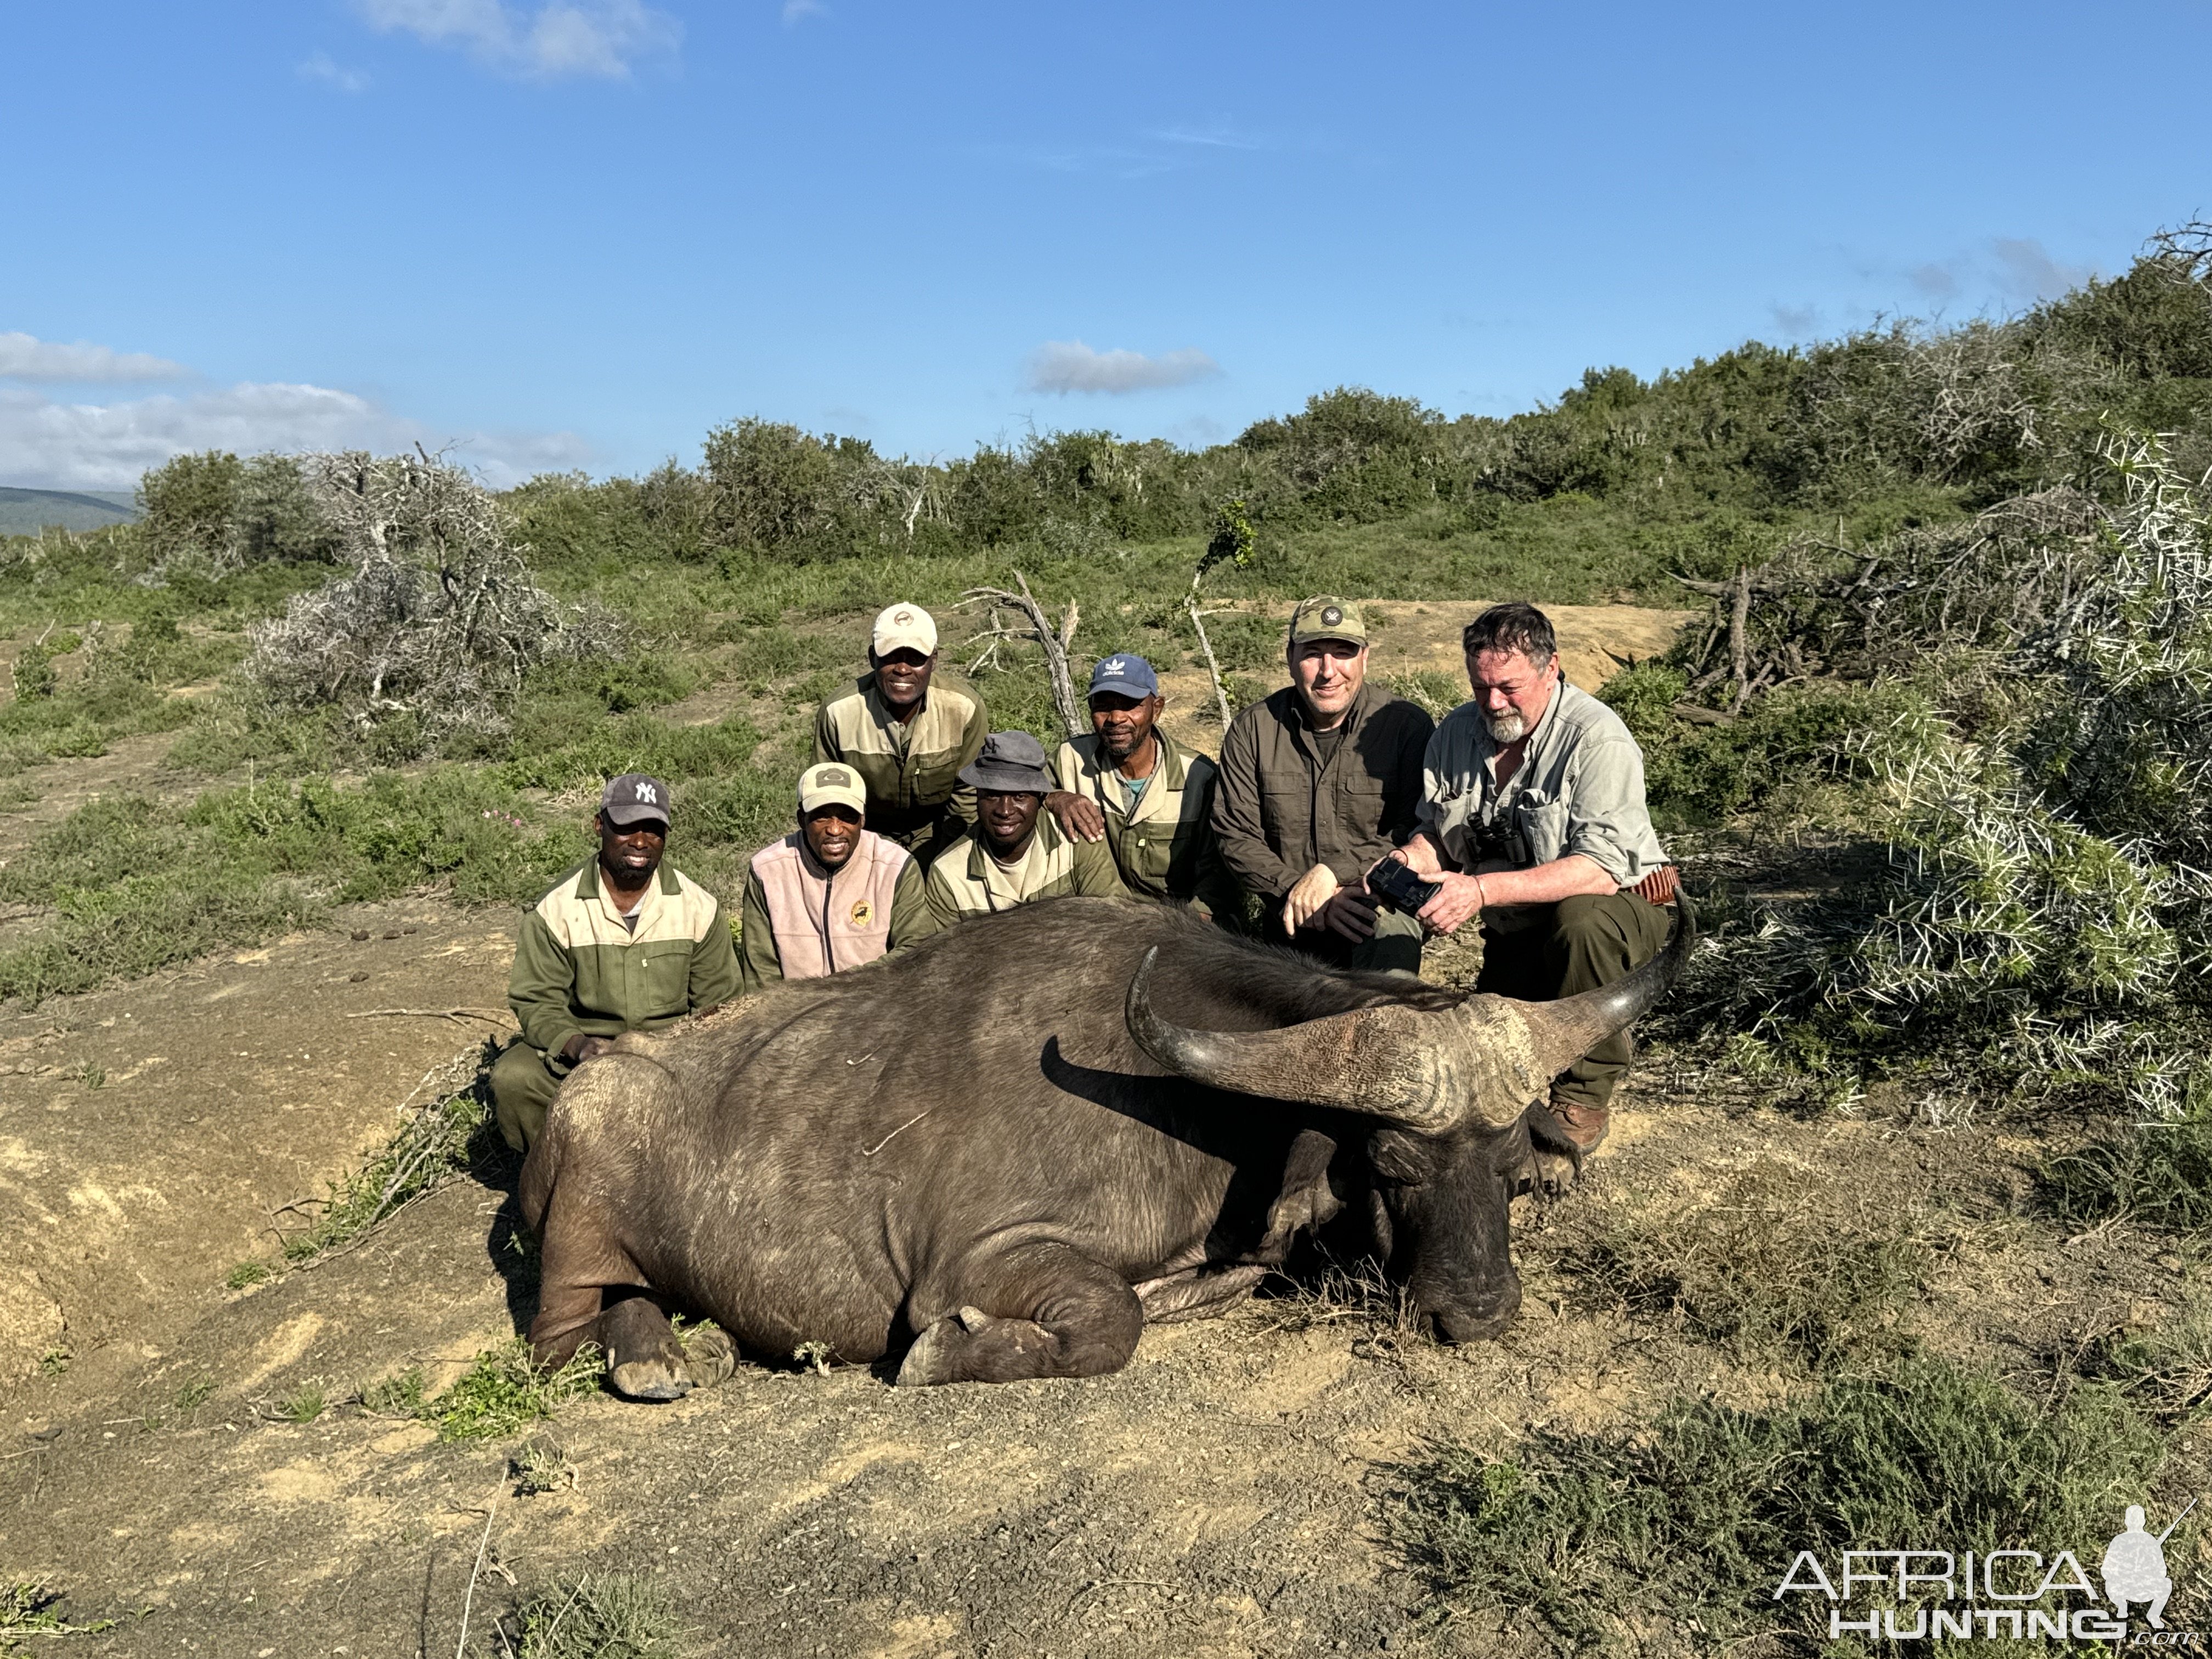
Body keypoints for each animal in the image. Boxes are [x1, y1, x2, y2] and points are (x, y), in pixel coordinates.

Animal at [517, 889, 1690, 1398]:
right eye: (1394, 1163)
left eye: (1512, 1171)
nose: (1478, 1312)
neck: (1191, 1109)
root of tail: (596, 1076)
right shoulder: (974, 1263)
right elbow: (1108, 1321)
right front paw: (948, 1351)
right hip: (572, 1235)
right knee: (564, 1332)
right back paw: (657, 1351)